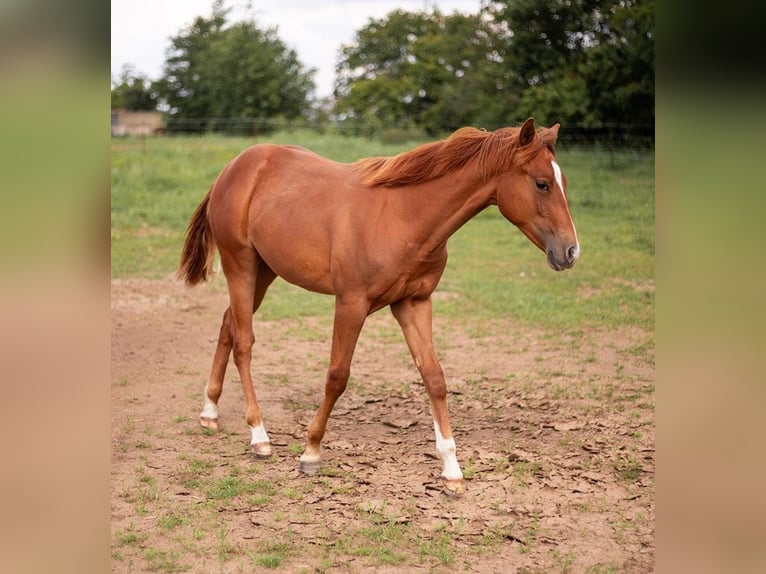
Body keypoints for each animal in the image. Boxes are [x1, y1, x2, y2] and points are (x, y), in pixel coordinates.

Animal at [178, 118, 576, 496]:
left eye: (563, 181)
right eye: (542, 184)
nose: (571, 251)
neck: (404, 216)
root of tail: (235, 167)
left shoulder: (413, 304)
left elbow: (434, 378)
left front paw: (452, 471)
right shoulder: (351, 304)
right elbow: (337, 376)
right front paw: (311, 452)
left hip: (265, 271)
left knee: (228, 324)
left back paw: (210, 412)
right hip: (240, 265)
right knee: (244, 341)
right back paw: (258, 435)